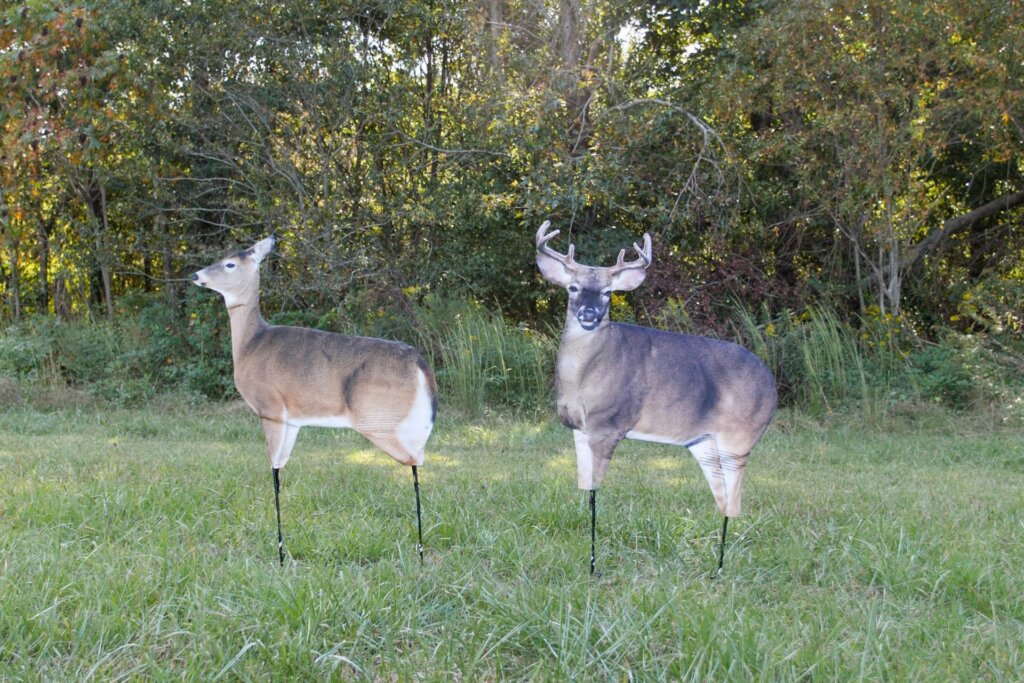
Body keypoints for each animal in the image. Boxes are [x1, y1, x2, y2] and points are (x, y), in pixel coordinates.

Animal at [191, 236, 437, 566]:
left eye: (230, 263)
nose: (196, 275)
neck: (249, 344)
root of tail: (419, 362)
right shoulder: (292, 419)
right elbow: (280, 468)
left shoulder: (270, 408)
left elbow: (274, 473)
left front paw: (280, 555)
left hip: (378, 419)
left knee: (415, 460)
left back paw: (421, 553)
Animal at [534, 221, 777, 575]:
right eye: (573, 288)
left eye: (608, 293)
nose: (590, 315)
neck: (585, 374)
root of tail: (774, 388)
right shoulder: (579, 428)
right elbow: (584, 487)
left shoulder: (609, 424)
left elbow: (595, 491)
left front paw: (594, 566)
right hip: (704, 442)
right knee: (722, 496)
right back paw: (713, 566)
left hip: (740, 435)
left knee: (734, 500)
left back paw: (720, 568)